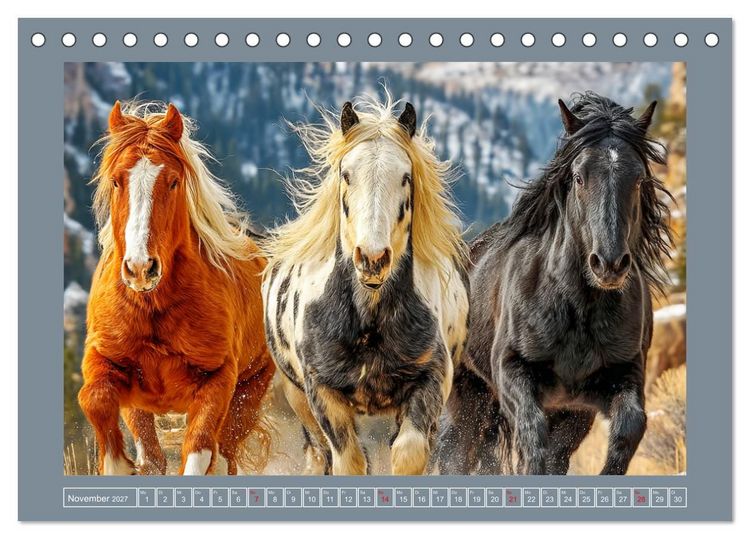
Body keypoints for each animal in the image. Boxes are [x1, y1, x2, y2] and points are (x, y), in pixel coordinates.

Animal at [78, 101, 275, 475]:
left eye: (172, 181)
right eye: (116, 181)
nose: (141, 268)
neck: (153, 306)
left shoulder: (217, 381)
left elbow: (199, 450)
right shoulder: (105, 359)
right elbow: (95, 401)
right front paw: (120, 465)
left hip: (249, 392)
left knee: (223, 455)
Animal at [261, 95, 470, 475]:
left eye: (405, 177)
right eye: (346, 174)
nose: (372, 258)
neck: (368, 320)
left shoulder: (431, 380)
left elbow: (408, 453)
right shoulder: (321, 391)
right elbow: (349, 461)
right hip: (297, 398)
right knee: (319, 454)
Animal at [435, 92, 674, 475]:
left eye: (638, 179)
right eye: (578, 177)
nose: (609, 264)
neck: (578, 310)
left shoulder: (614, 384)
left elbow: (629, 431)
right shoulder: (512, 373)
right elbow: (532, 440)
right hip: (468, 395)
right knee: (455, 453)